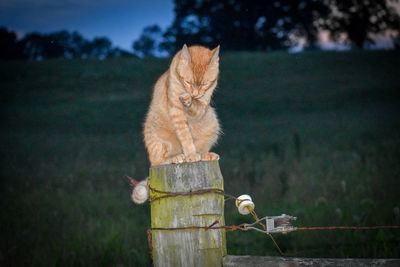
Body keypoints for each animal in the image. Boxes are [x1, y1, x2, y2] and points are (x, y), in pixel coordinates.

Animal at [131, 44, 220, 205]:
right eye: (189, 82)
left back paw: (205, 155)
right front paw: (190, 154)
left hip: (212, 120)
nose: (195, 93)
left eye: (204, 84)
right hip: (156, 140)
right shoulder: (176, 111)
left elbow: (196, 106)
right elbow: (185, 136)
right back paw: (176, 158)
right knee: (157, 161)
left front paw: (190, 100)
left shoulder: (203, 106)